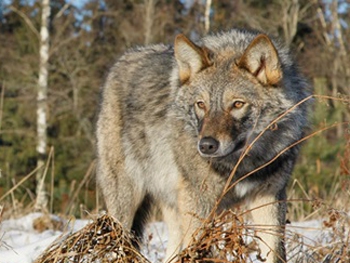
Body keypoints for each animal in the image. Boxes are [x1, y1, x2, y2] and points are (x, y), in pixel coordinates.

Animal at [95, 27, 308, 262]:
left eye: (237, 104)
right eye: (201, 104)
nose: (206, 145)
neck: (241, 165)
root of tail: (123, 59)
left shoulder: (269, 199)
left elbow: (275, 252)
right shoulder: (200, 205)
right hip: (126, 205)